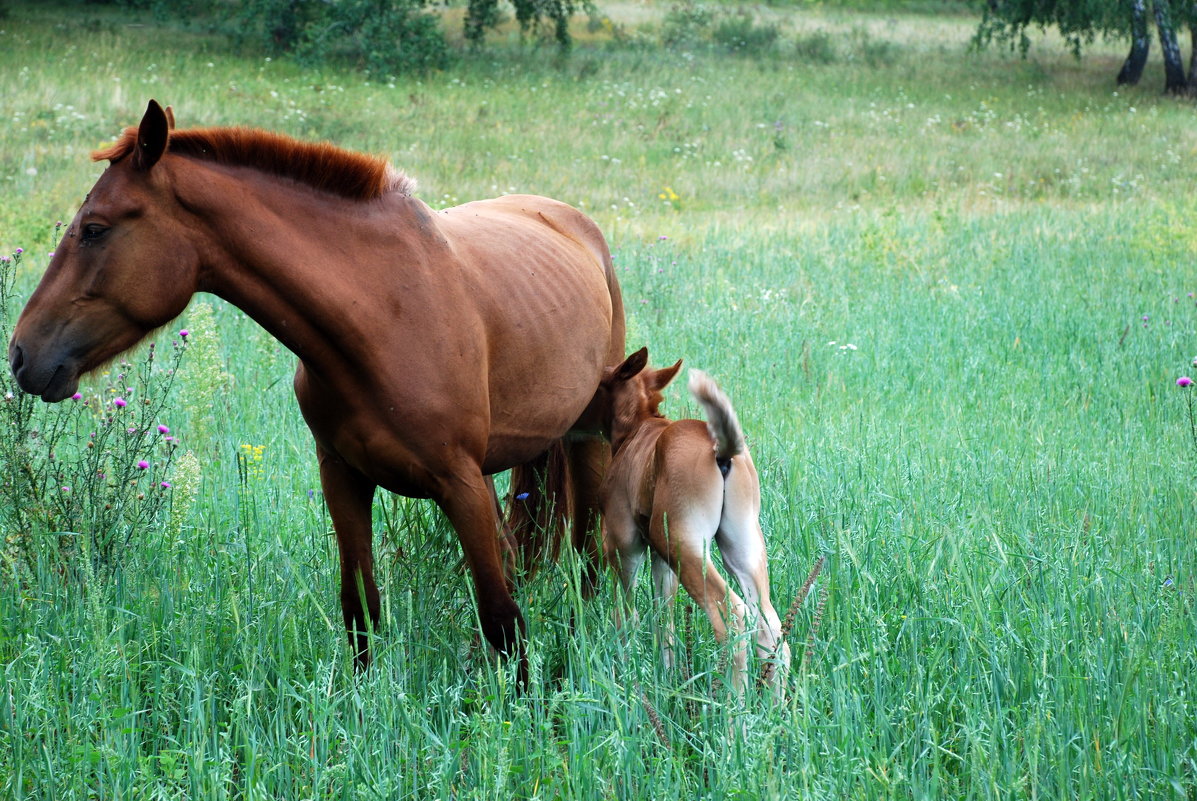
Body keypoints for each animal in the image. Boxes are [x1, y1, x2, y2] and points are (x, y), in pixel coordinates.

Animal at [603, 347, 790, 689]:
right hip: (741, 546)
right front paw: (666, 678)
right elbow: (663, 618)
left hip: (685, 544)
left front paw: (626, 678)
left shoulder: (624, 543)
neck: (636, 429)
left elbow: (626, 615)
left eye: (602, 382)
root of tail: (723, 451)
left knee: (732, 618)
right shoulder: (661, 558)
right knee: (770, 629)